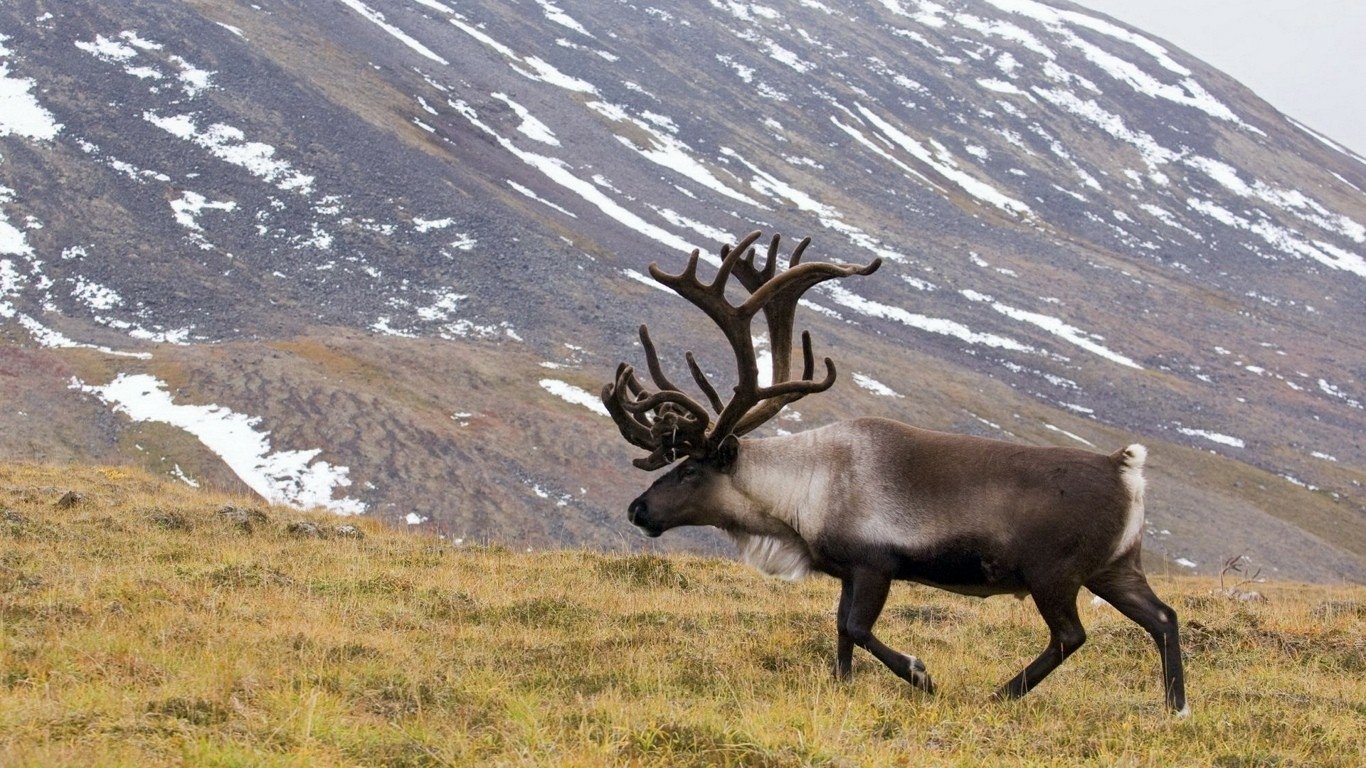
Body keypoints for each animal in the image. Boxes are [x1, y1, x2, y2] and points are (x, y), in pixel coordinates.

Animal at [601, 230, 1188, 715]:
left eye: (691, 469)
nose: (637, 509)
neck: (804, 490)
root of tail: (1126, 468)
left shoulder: (873, 565)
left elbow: (857, 628)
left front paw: (921, 674)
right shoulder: (844, 570)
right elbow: (840, 632)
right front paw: (842, 688)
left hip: (1054, 573)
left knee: (1070, 635)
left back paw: (1001, 694)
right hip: (1114, 567)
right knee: (1163, 617)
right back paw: (1175, 707)